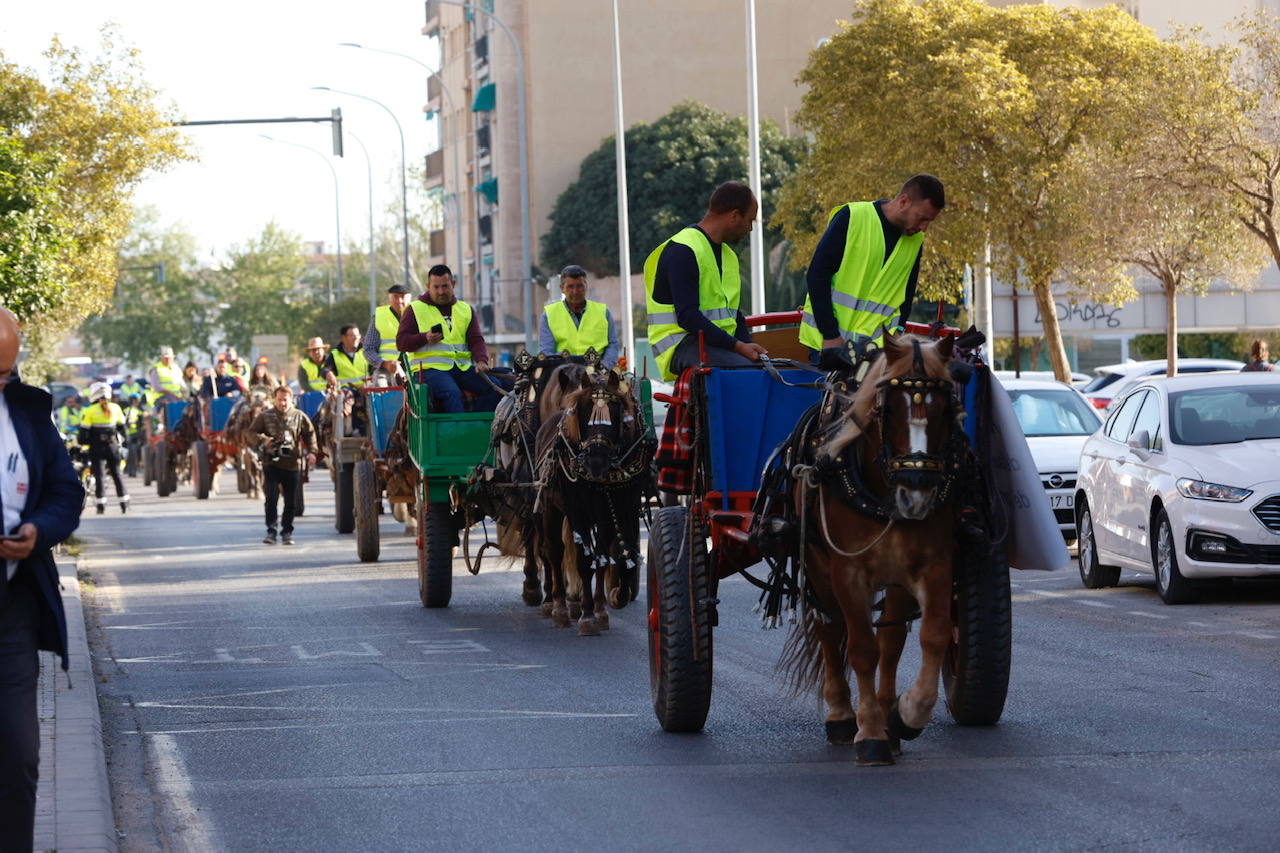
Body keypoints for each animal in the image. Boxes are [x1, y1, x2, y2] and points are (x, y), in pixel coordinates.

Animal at [778, 330, 962, 763]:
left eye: (946, 409)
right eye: (888, 409)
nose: (916, 493)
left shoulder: (932, 565)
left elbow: (930, 635)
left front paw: (905, 714)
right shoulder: (848, 572)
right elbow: (861, 648)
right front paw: (872, 733)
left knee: (889, 642)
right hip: (818, 568)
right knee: (830, 630)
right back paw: (843, 715)